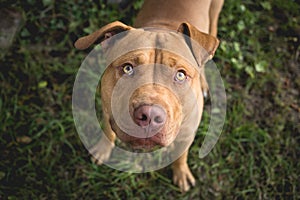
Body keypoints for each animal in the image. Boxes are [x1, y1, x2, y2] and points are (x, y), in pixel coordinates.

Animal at [75, 0, 223, 191]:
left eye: (180, 75)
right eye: (127, 68)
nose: (150, 115)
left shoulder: (187, 135)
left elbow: (181, 155)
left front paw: (181, 173)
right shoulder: (107, 108)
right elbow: (108, 131)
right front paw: (102, 150)